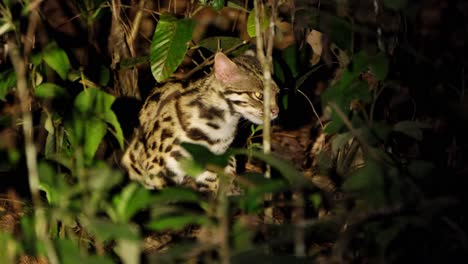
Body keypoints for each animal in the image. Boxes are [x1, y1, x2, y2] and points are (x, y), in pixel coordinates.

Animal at [122, 52, 280, 192]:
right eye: (259, 95)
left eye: (276, 93)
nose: (276, 111)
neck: (221, 125)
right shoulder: (156, 169)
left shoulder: (210, 167)